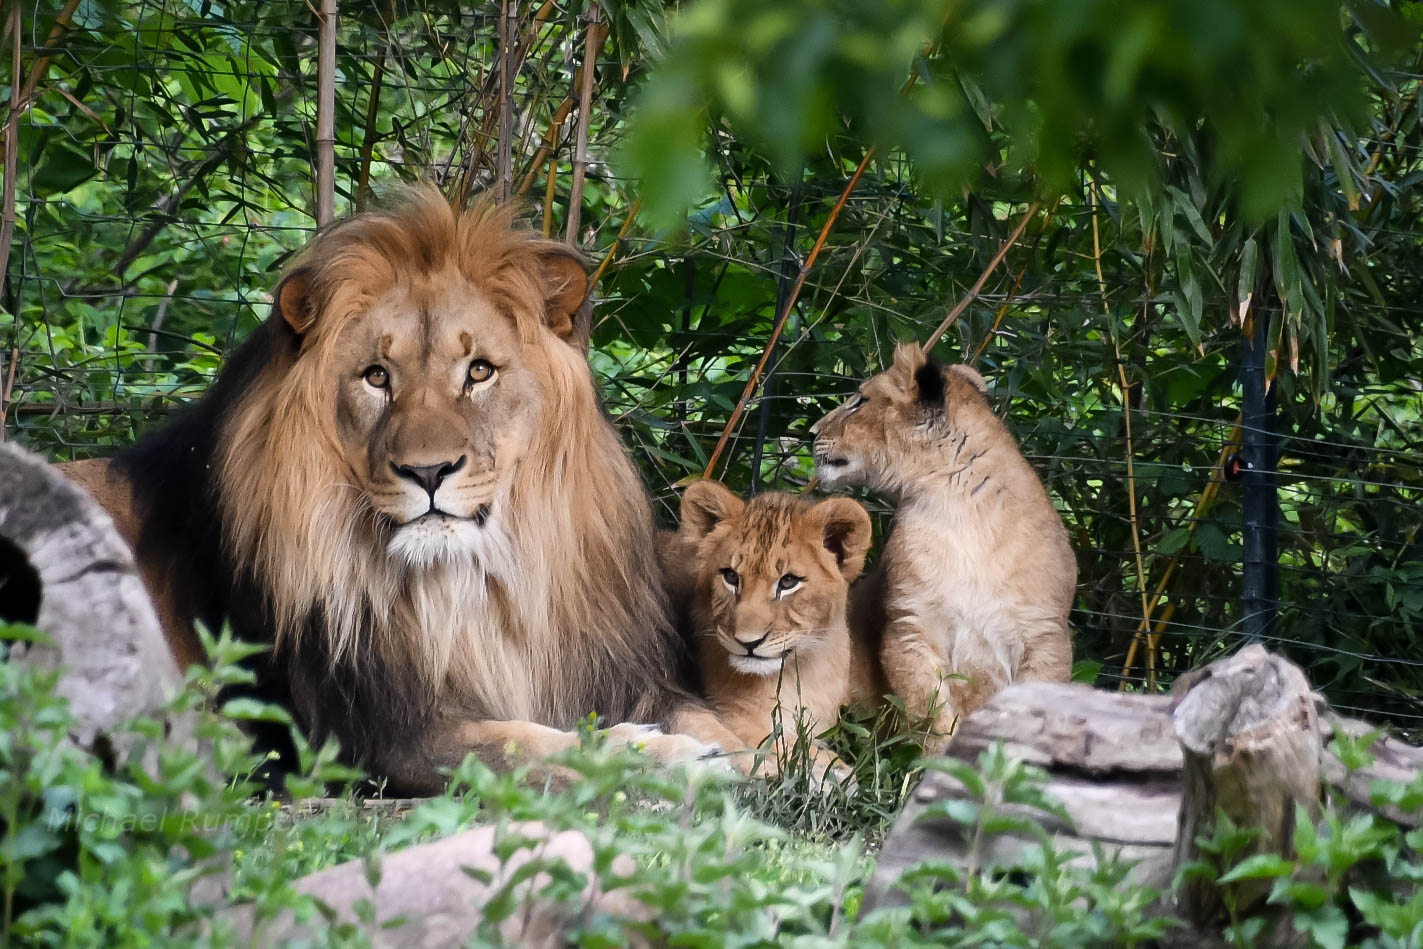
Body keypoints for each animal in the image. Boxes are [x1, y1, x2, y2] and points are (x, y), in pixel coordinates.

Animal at [61, 187, 734, 796]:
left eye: (479, 371)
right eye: (377, 377)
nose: (429, 472)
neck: (471, 589)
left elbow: (710, 718)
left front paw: (738, 750)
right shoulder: (375, 738)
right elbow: (520, 745)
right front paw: (664, 757)